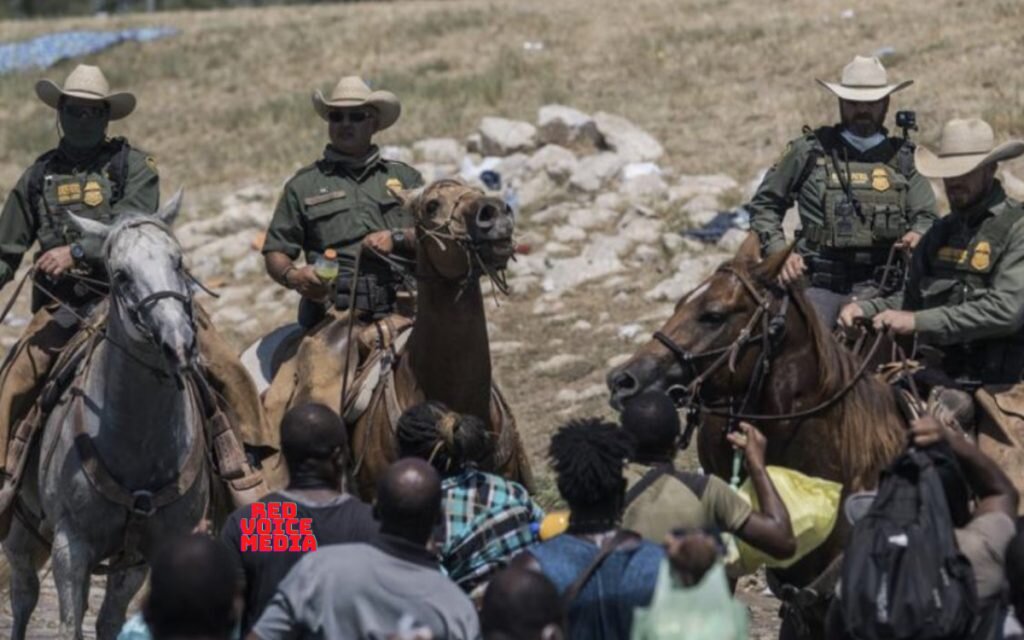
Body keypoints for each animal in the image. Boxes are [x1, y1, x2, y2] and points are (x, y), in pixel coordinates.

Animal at [1, 190, 209, 638]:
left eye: (178, 261)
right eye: (121, 275)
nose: (179, 344)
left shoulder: (144, 554)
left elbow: (109, 620)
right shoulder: (70, 546)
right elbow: (69, 625)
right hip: (22, 531)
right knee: (24, 594)